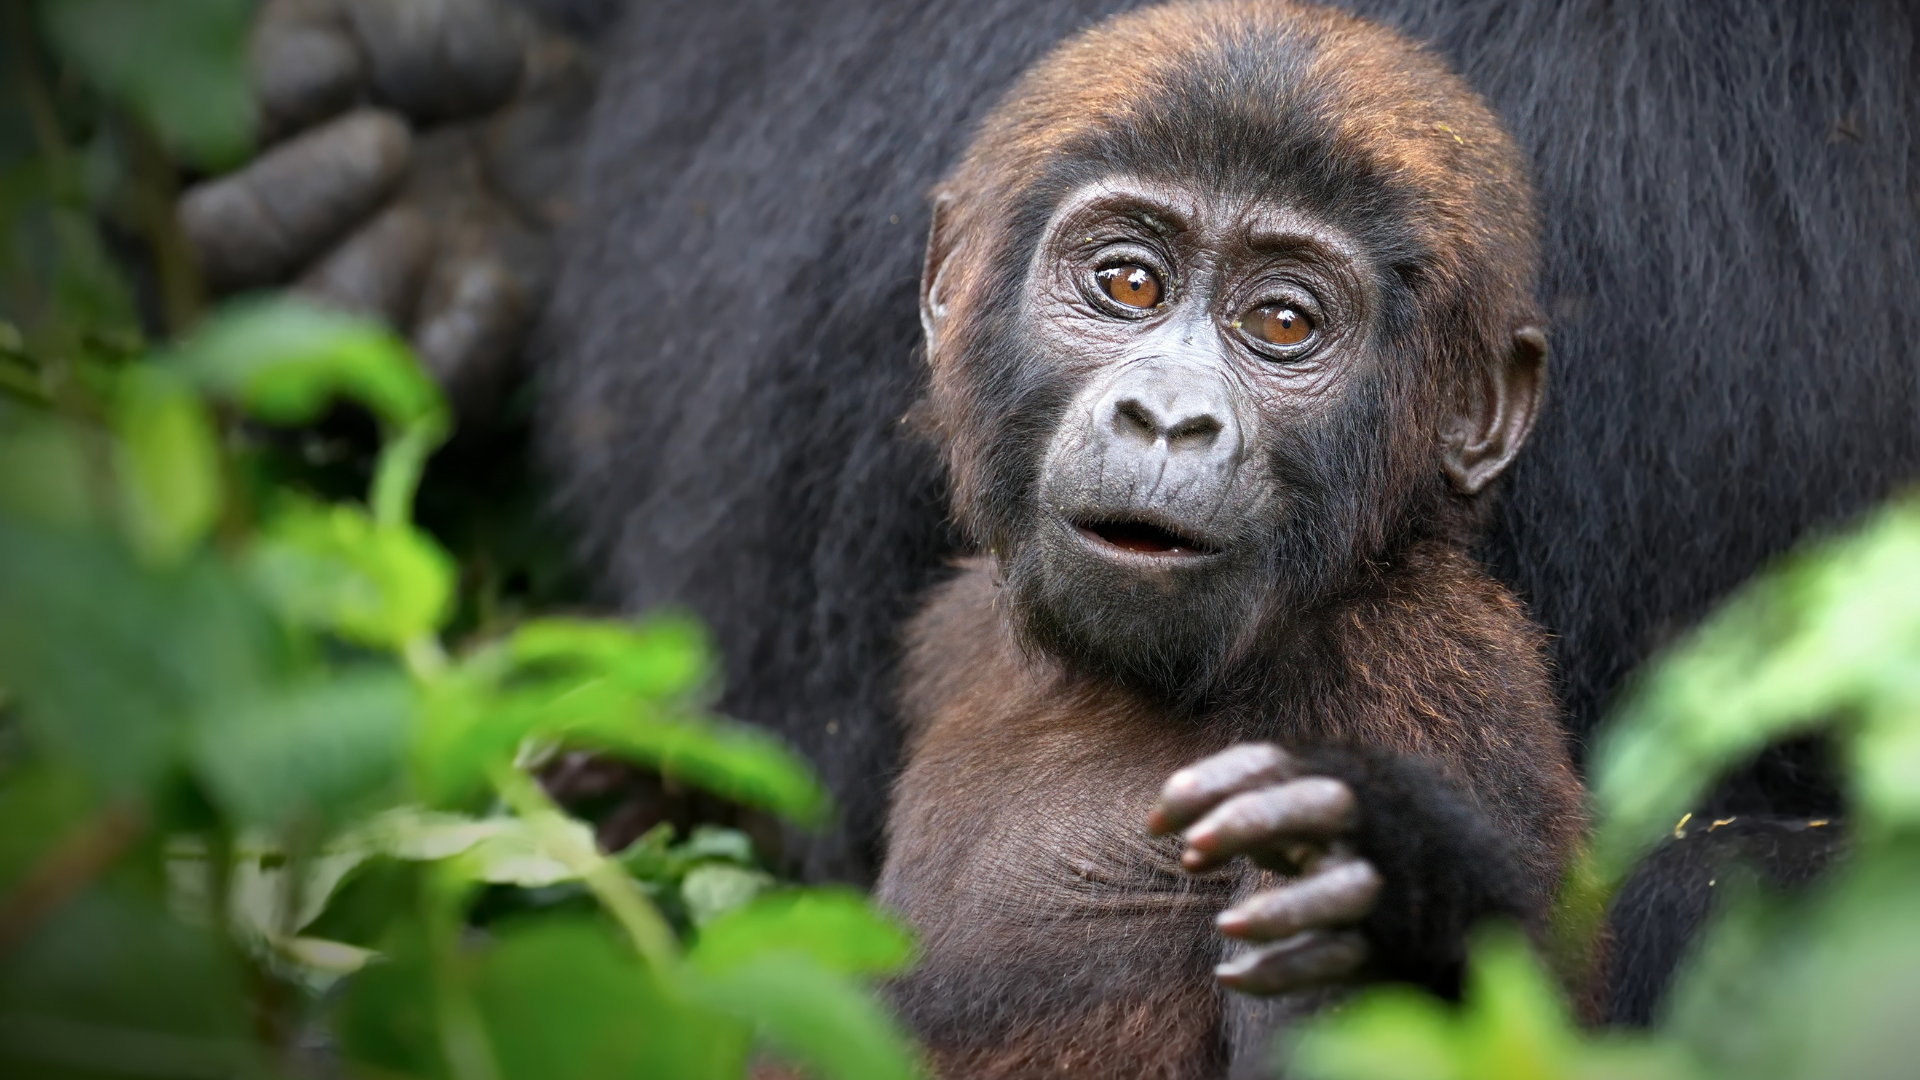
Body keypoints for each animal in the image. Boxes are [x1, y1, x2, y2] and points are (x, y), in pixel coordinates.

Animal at [866, 5, 1584, 1075]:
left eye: (1282, 322)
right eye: (1129, 282)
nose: (1168, 417)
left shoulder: (1427, 678)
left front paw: (1390, 892)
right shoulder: (951, 629)